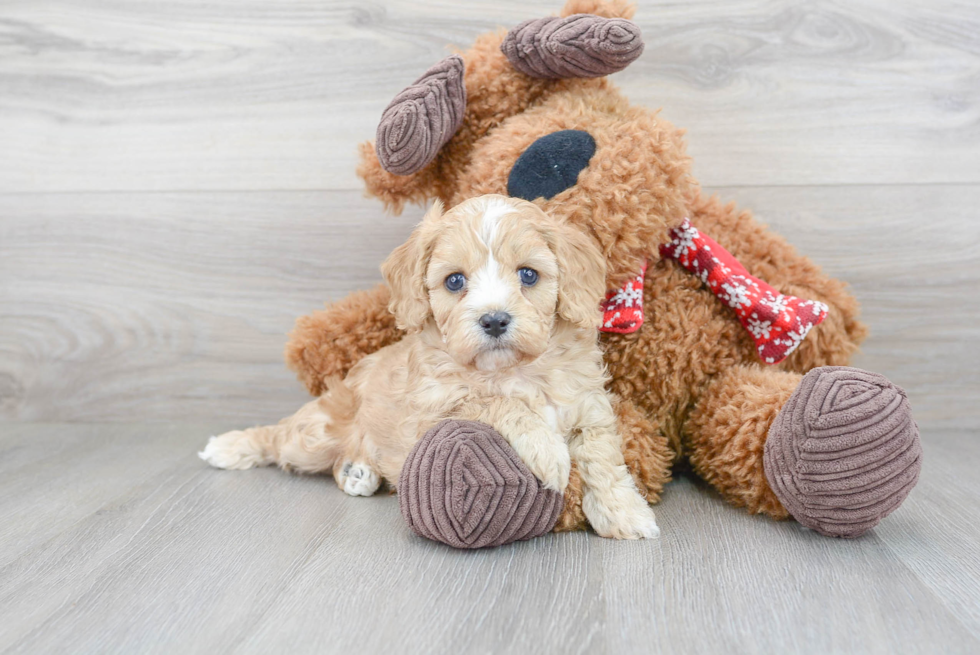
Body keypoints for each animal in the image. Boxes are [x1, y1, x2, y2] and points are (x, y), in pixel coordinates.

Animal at [198, 193, 660, 540]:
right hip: (317, 433)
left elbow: (604, 459)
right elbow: (494, 403)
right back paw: (232, 445)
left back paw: (357, 471)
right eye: (454, 280)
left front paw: (625, 513)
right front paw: (548, 452)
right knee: (281, 438)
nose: (494, 320)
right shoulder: (433, 412)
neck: (512, 370)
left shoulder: (589, 408)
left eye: (528, 275)